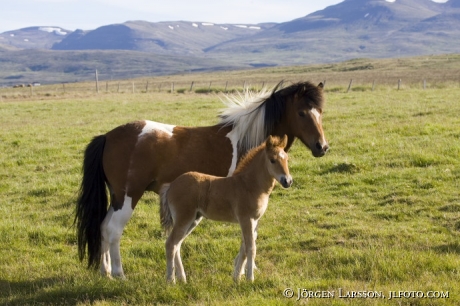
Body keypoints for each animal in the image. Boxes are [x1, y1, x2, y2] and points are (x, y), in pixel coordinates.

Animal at [160, 135, 292, 284]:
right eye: (272, 160)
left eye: (287, 159)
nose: (287, 181)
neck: (249, 185)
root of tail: (171, 185)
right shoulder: (246, 219)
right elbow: (251, 248)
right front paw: (249, 279)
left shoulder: (254, 221)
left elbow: (244, 248)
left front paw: (237, 277)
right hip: (184, 218)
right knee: (171, 244)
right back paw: (171, 280)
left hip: (193, 219)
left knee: (177, 244)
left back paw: (182, 279)